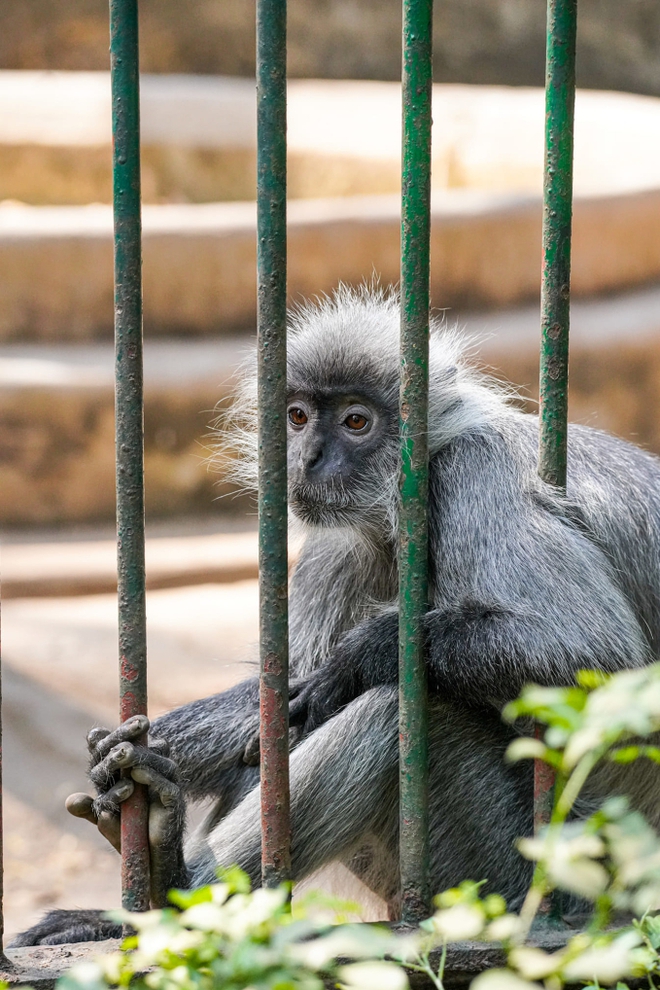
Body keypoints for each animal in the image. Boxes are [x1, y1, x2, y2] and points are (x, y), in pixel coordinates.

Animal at [12, 284, 660, 944]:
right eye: (298, 417)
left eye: (356, 421)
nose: (308, 458)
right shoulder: (346, 541)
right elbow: (280, 696)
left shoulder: (477, 472)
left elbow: (594, 655)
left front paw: (360, 658)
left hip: (520, 884)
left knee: (390, 709)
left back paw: (167, 885)